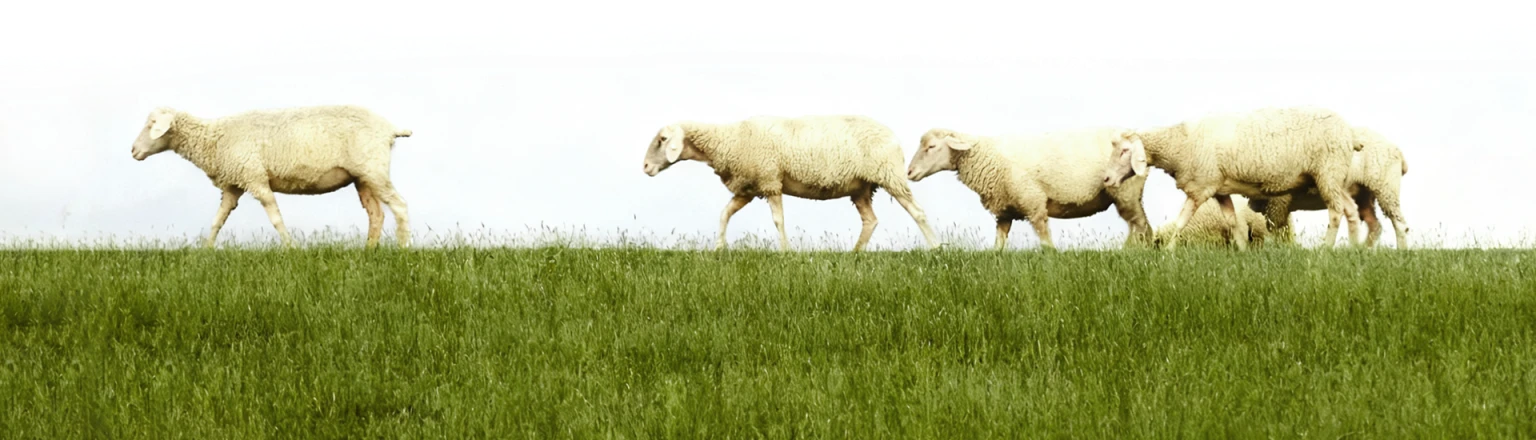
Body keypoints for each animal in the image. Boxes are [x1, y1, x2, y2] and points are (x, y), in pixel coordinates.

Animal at [129, 105, 415, 249]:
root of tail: (390, 129)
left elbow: (276, 218)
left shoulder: (255, 178)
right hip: (362, 177)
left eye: (151, 125)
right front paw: (205, 250)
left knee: (400, 206)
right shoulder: (234, 184)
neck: (213, 139)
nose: (133, 151)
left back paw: (402, 249)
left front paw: (290, 248)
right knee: (376, 214)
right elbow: (217, 221)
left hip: (374, 169)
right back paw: (369, 252)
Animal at [640, 114, 940, 251]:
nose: (644, 167)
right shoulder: (749, 188)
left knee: (918, 212)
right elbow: (725, 214)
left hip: (890, 176)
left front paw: (785, 251)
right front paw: (719, 247)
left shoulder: (770, 180)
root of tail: (893, 135)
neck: (729, 140)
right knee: (870, 220)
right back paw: (855, 253)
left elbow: (778, 220)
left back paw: (936, 247)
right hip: (861, 188)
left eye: (662, 140)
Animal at [905, 126, 1154, 250]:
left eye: (931, 146)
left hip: (1126, 192)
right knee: (1139, 227)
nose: (908, 172)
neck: (987, 156)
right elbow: (998, 247)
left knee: (1142, 227)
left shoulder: (1034, 204)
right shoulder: (1005, 212)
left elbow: (1046, 245)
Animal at [1102, 106, 1365, 250]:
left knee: (1335, 211)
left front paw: (1168, 251)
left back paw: (1326, 248)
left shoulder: (1201, 188)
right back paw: (1354, 248)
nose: (1105, 179)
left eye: (1124, 151)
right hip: (1334, 177)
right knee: (1351, 209)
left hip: (1328, 172)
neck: (1180, 143)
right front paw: (1242, 251)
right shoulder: (1220, 190)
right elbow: (1233, 223)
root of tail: (1350, 133)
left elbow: (1180, 222)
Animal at [1246, 125, 1409, 248]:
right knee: (1374, 225)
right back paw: (1362, 249)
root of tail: (1398, 152)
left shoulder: (1277, 202)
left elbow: (1279, 231)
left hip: (1385, 188)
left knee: (1400, 225)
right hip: (1364, 194)